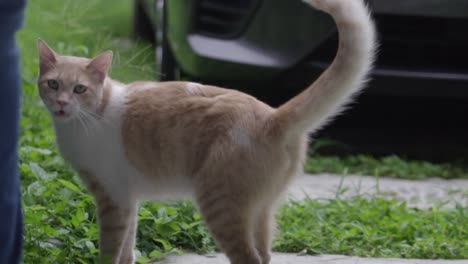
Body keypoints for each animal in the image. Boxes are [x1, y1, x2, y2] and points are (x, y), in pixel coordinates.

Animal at [35, 0, 376, 262]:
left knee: (248, 257)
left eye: (79, 89)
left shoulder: (113, 199)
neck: (91, 116)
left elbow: (110, 251)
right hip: (261, 212)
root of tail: (273, 116)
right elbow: (128, 250)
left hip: (221, 206)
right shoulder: (128, 201)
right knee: (265, 255)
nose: (62, 103)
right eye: (53, 84)